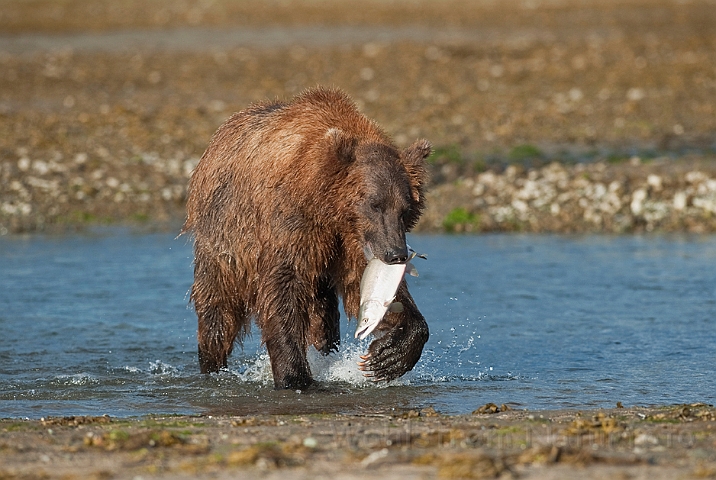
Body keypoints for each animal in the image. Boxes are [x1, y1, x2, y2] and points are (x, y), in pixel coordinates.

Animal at [185, 87, 430, 390]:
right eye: (375, 204)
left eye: (405, 208)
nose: (396, 254)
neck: (327, 207)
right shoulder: (291, 224)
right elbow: (283, 289)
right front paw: (295, 376)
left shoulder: (352, 242)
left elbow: (363, 287)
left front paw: (389, 356)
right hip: (224, 242)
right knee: (218, 309)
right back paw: (212, 365)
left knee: (322, 316)